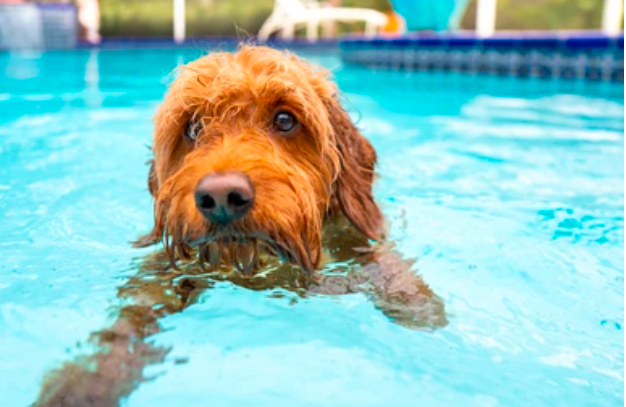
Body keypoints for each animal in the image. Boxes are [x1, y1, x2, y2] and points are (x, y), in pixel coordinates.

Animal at [33, 46, 444, 406]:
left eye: (285, 120)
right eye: (193, 128)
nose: (220, 196)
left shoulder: (352, 234)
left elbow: (380, 260)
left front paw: (414, 301)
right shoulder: (174, 266)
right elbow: (130, 319)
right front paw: (85, 382)